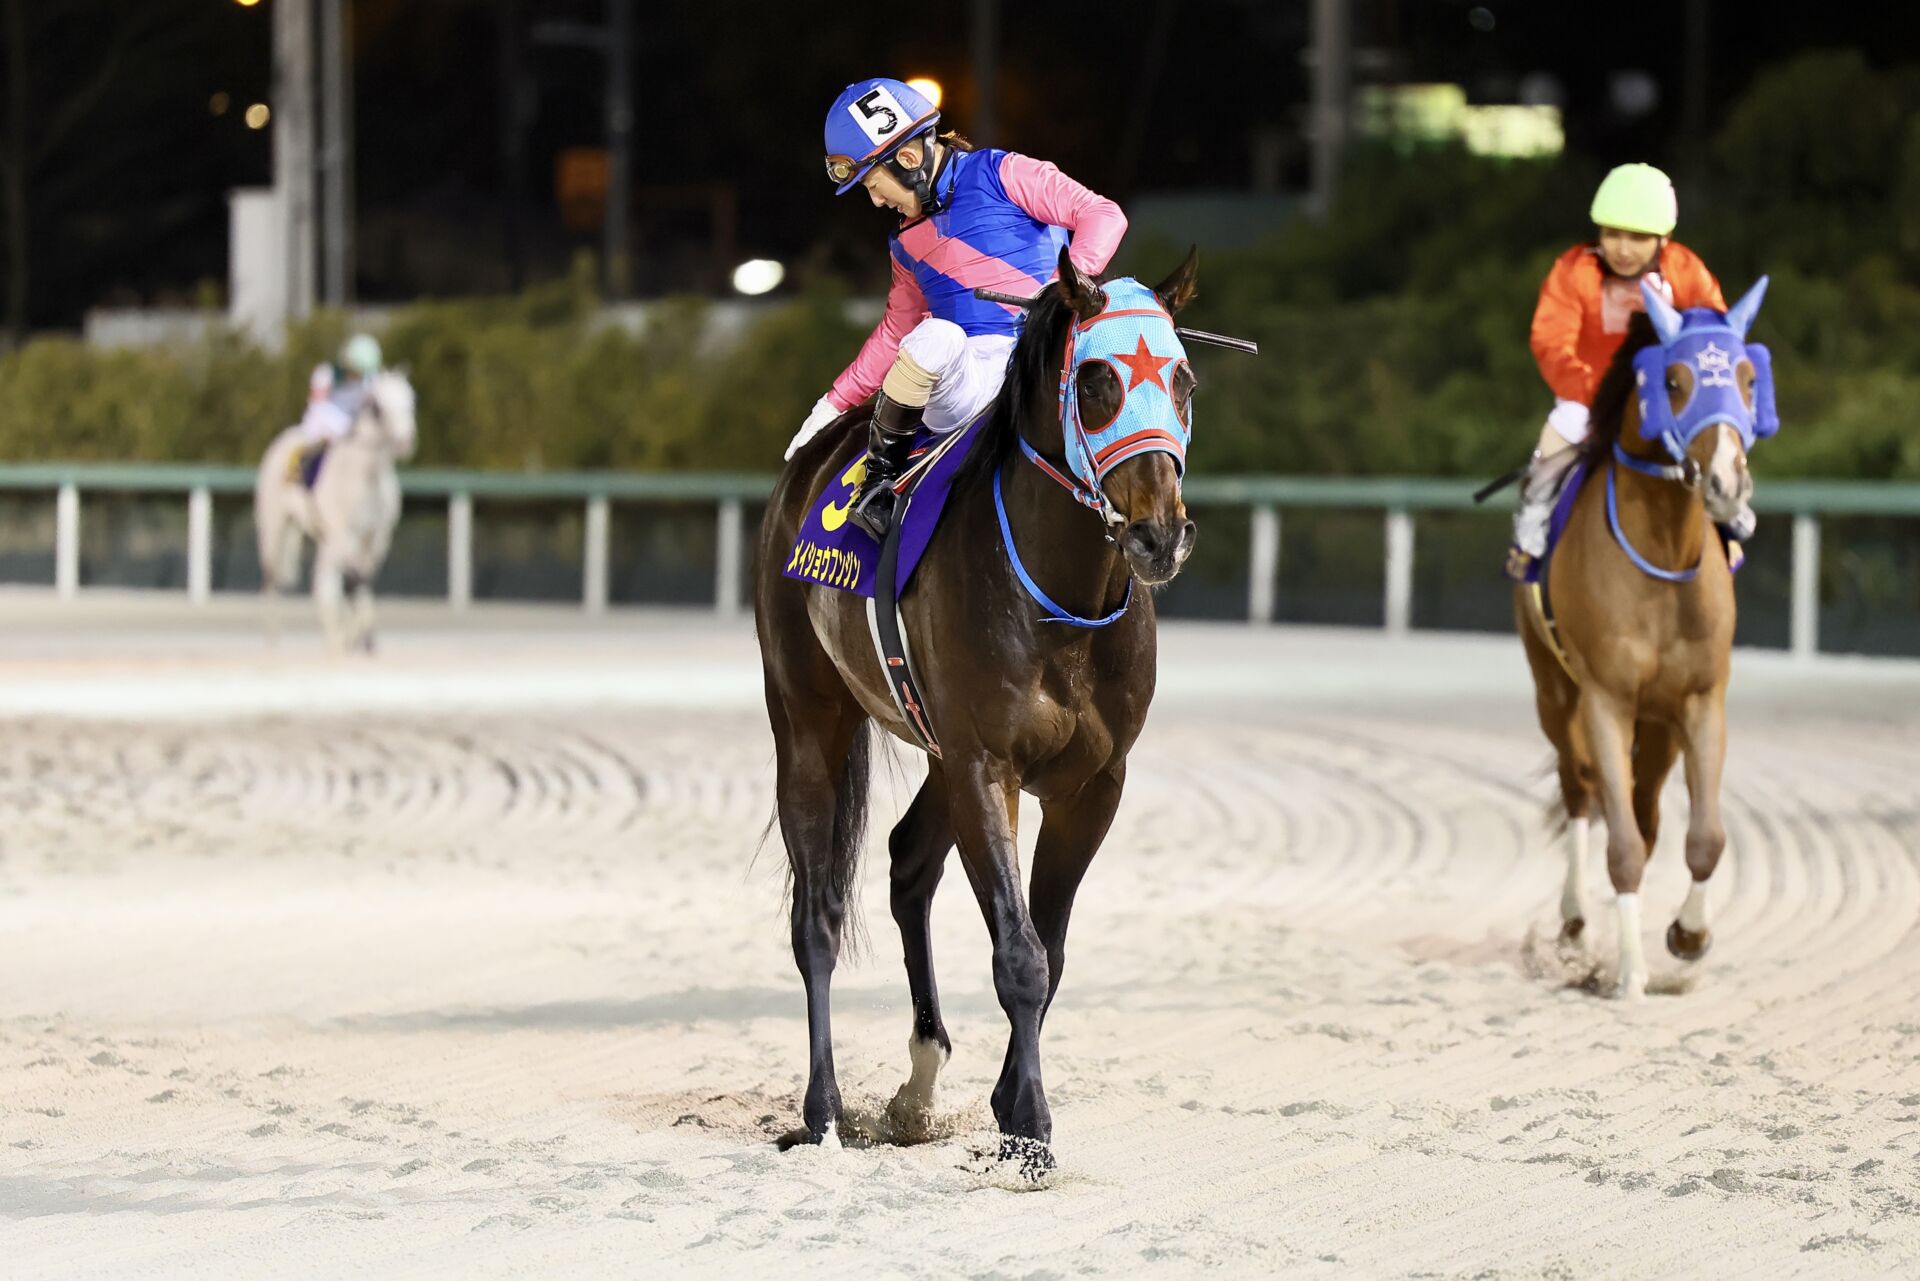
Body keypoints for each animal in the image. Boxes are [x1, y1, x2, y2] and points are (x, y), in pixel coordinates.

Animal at [255, 368, 416, 652]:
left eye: (411, 400)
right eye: (377, 407)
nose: (404, 441)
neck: (365, 477)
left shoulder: (377, 539)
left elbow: (360, 580)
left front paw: (360, 638)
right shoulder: (343, 535)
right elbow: (350, 581)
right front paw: (348, 638)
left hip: (325, 537)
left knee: (326, 578)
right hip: (275, 526)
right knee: (273, 578)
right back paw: (273, 641)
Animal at [752, 247, 1190, 1175]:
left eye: (1182, 379)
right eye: (1097, 379)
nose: (1158, 534)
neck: (1060, 596)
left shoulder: (1091, 783)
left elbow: (1046, 947)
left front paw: (1007, 1103)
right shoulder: (989, 764)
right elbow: (1019, 953)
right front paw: (1028, 1124)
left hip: (939, 752)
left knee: (908, 861)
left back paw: (918, 1083)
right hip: (808, 716)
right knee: (817, 915)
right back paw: (822, 1111)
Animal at [1520, 278, 1774, 998]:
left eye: (1747, 376)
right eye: (1678, 380)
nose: (1727, 482)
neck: (1661, 552)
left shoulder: (1700, 699)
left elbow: (1704, 837)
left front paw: (1687, 935)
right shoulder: (1606, 699)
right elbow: (1624, 844)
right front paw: (1630, 973)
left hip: (1660, 727)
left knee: (1647, 808)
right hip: (1553, 693)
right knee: (1581, 789)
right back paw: (1576, 921)